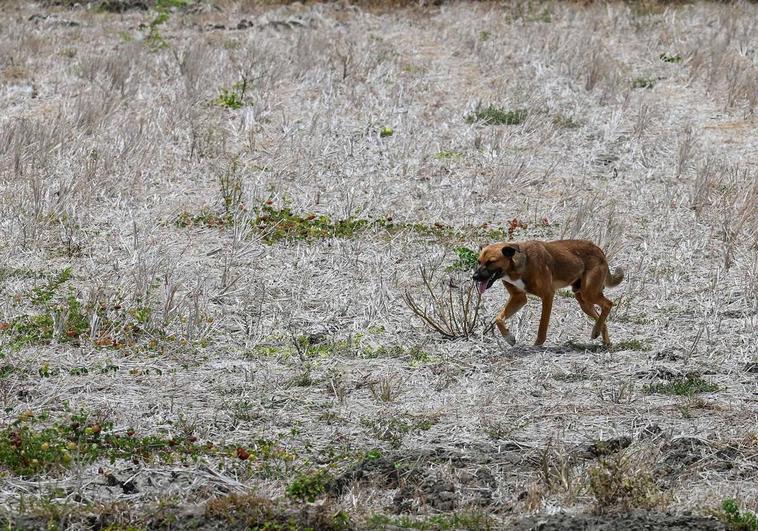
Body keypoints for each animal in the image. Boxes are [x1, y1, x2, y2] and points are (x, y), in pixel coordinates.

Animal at [472, 240, 628, 344]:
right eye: (479, 261)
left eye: (491, 262)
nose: (474, 277)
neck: (517, 266)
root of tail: (599, 250)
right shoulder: (519, 298)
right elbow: (498, 319)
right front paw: (509, 338)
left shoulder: (547, 296)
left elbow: (542, 325)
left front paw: (537, 344)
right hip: (583, 300)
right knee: (601, 316)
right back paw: (602, 337)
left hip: (589, 294)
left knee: (608, 304)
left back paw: (597, 331)